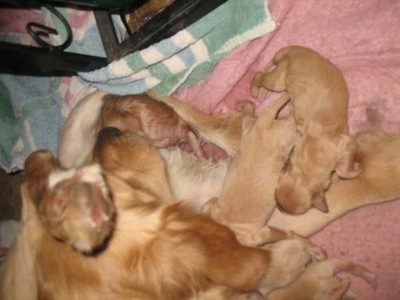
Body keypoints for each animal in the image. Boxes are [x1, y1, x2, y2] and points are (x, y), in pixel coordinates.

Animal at [202, 94, 296, 246]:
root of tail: (261, 125)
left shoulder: (258, 235)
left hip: (285, 131)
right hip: (253, 127)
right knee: (250, 110)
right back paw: (243, 105)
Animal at [253, 44, 362, 214]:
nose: (279, 209)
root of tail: (292, 50)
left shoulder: (347, 143)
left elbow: (342, 170)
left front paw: (354, 169)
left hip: (278, 80)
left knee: (259, 74)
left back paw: (256, 90)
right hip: (280, 78)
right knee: (261, 74)